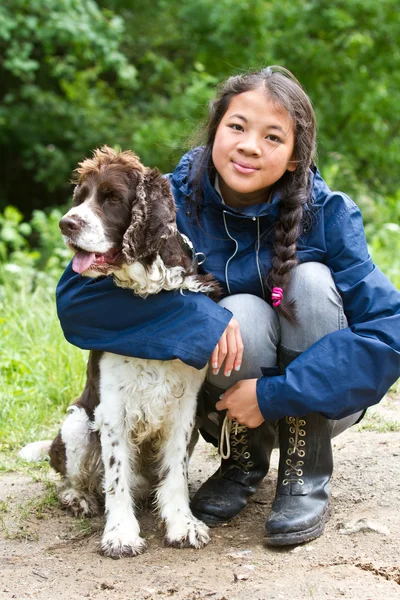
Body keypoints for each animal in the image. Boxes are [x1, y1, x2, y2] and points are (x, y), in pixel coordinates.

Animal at [44, 146, 220, 556]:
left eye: (111, 198)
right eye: (80, 198)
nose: (65, 224)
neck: (148, 295)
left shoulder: (185, 406)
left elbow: (175, 473)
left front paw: (182, 524)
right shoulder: (112, 409)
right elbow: (116, 476)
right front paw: (122, 533)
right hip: (77, 423)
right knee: (74, 479)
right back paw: (79, 499)